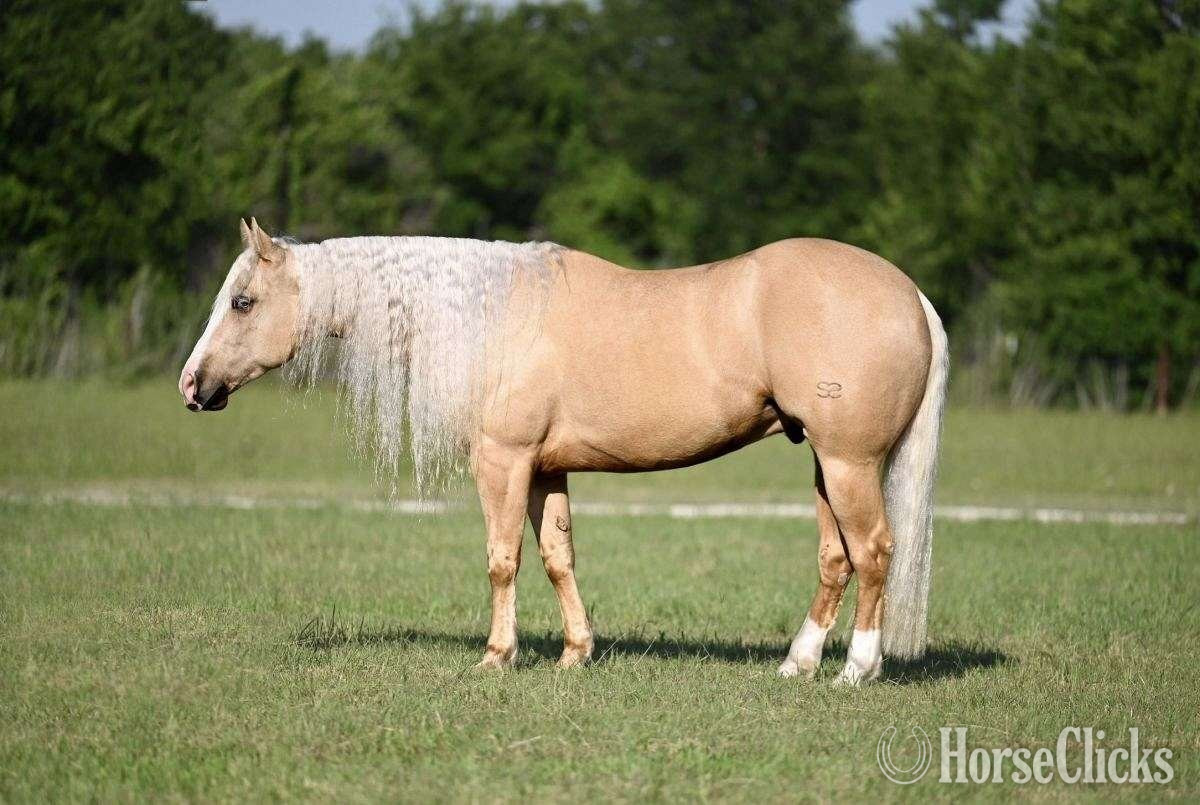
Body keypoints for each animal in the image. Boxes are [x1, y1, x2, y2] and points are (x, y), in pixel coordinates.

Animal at [180, 218, 948, 685]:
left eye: (243, 301)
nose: (193, 385)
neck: (489, 318)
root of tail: (909, 293)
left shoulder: (503, 461)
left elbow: (502, 560)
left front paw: (497, 656)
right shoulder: (546, 469)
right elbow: (557, 556)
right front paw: (577, 653)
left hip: (849, 464)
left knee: (874, 551)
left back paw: (857, 669)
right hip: (823, 466)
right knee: (835, 558)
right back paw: (798, 663)